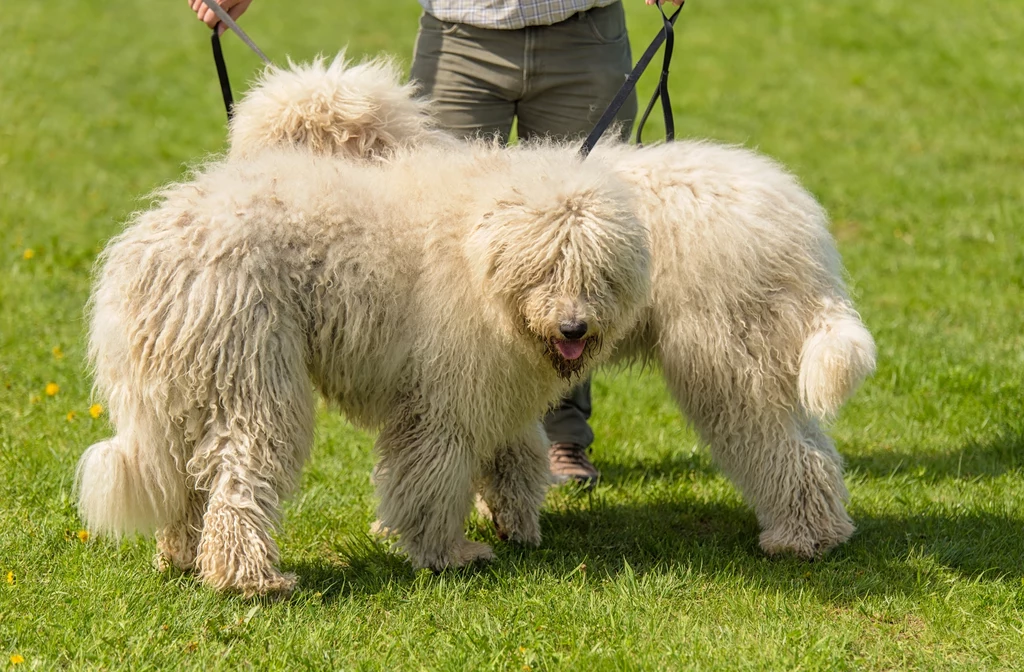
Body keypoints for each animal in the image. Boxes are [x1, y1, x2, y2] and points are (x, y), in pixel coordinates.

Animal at [79, 56, 872, 594]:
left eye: (589, 269)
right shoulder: (465, 384)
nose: (575, 328)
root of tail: (801, 222)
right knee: (225, 480)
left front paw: (471, 539)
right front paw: (468, 543)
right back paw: (228, 571)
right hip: (226, 379)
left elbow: (476, 464)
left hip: (737, 355)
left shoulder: (473, 382)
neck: (481, 246)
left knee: (790, 449)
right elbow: (462, 467)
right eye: (548, 267)